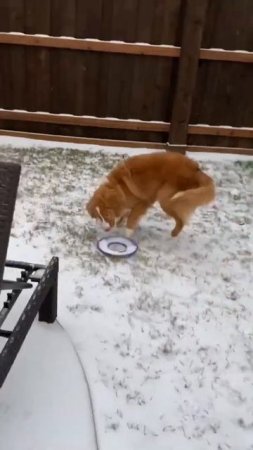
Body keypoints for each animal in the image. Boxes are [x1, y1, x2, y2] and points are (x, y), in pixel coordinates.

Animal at [86, 151, 214, 237]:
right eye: (98, 217)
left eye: (107, 215)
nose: (105, 229)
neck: (119, 187)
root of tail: (195, 168)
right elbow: (125, 214)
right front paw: (120, 223)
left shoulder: (143, 202)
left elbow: (131, 218)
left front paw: (127, 233)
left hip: (166, 199)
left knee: (181, 220)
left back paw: (173, 235)